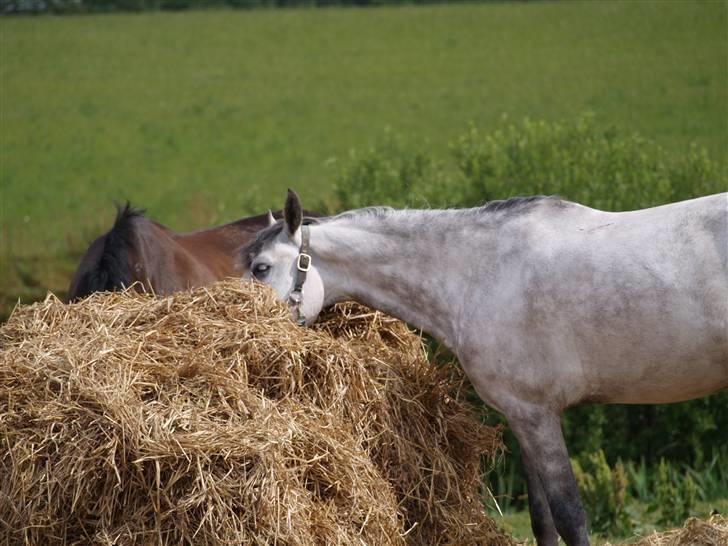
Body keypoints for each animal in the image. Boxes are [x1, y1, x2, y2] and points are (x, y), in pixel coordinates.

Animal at [240, 189, 728, 540]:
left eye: (261, 268)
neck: (477, 273)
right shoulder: (524, 417)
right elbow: (543, 520)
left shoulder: (537, 416)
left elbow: (569, 516)